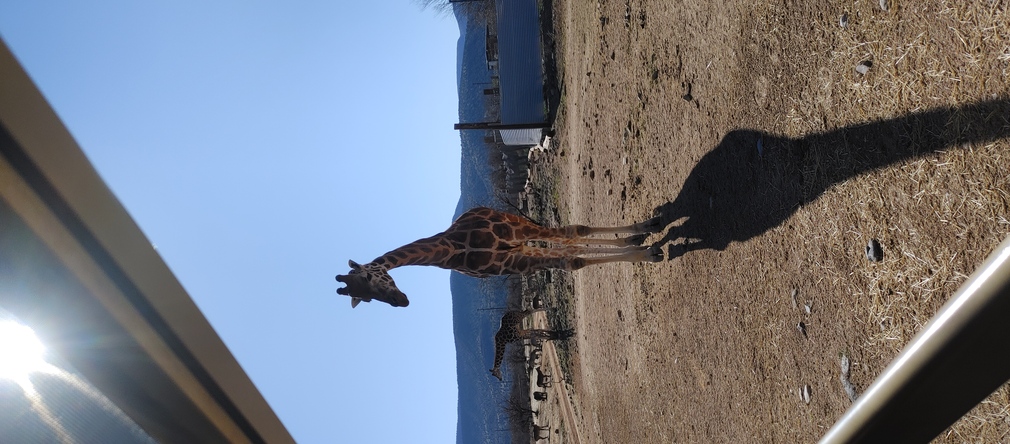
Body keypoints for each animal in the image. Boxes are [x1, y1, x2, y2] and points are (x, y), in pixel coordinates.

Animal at [335, 206, 663, 308]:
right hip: (523, 248)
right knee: (569, 246)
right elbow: (573, 259)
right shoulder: (516, 262)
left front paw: (647, 248)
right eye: (365, 299)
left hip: (520, 229)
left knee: (571, 236)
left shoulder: (519, 235)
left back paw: (647, 230)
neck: (452, 247)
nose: (401, 301)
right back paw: (640, 240)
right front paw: (644, 248)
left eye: (369, 277)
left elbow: (575, 241)